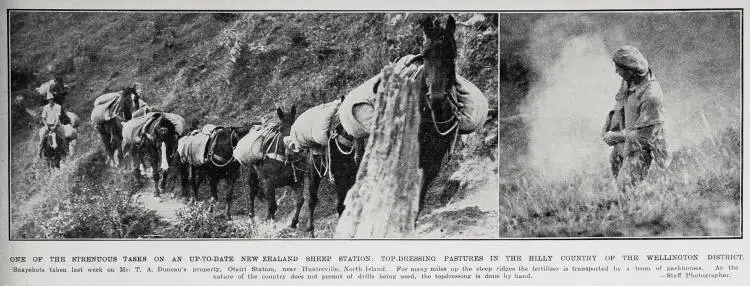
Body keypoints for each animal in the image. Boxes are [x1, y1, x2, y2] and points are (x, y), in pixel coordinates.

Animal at [302, 14, 464, 236]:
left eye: (452, 53)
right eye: (425, 54)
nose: (437, 98)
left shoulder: (431, 165)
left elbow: (417, 203)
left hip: (347, 171)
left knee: (342, 204)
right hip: (322, 171)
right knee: (316, 200)